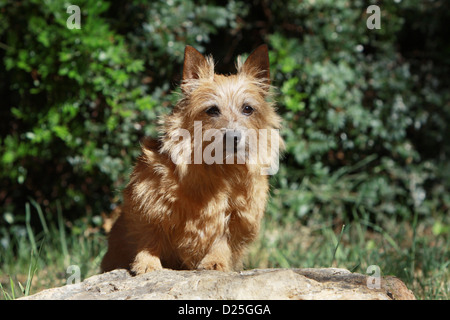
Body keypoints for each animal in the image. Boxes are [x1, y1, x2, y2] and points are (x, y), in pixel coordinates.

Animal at [102, 44, 284, 276]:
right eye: (212, 110)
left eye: (247, 109)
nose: (234, 137)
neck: (218, 168)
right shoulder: (148, 204)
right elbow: (149, 237)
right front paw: (147, 263)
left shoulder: (236, 217)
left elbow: (222, 240)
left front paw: (215, 261)